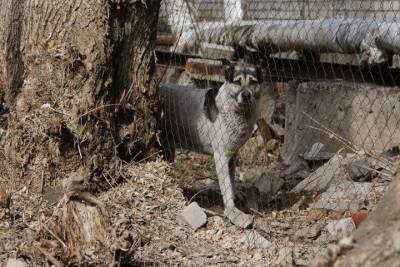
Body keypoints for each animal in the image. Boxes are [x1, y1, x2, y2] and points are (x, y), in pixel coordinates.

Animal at [159, 62, 262, 228]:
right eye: (237, 82)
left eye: (253, 82)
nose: (246, 95)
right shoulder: (221, 157)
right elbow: (226, 186)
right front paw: (233, 212)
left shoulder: (232, 155)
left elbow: (232, 178)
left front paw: (236, 194)